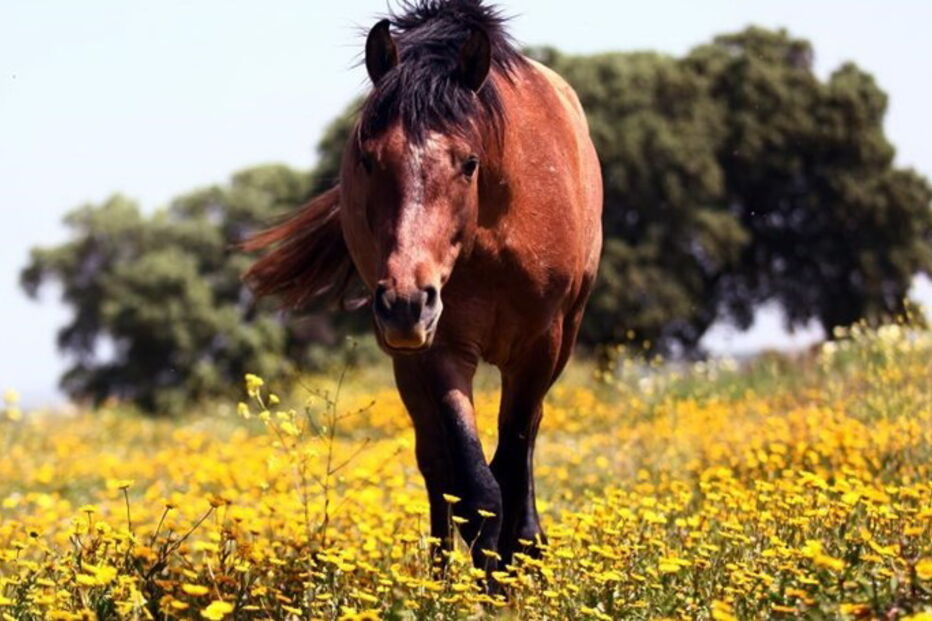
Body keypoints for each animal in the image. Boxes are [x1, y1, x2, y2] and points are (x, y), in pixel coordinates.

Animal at [245, 0, 602, 571]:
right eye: (368, 160)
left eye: (469, 162)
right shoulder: (441, 348)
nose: (404, 304)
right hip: (407, 362)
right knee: (437, 468)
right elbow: (476, 490)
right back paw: (436, 574)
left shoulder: (538, 348)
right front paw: (481, 579)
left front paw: (518, 561)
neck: (492, 233)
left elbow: (512, 468)